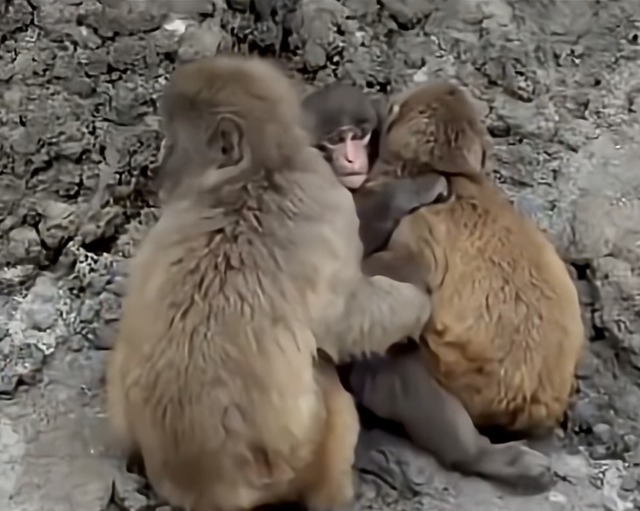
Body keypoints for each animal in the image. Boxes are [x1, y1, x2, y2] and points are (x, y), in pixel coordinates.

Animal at [105, 55, 434, 511]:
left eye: (173, 140)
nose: (160, 166)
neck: (257, 172)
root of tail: (205, 488)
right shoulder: (330, 198)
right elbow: (345, 321)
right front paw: (419, 306)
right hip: (300, 456)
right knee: (331, 392)